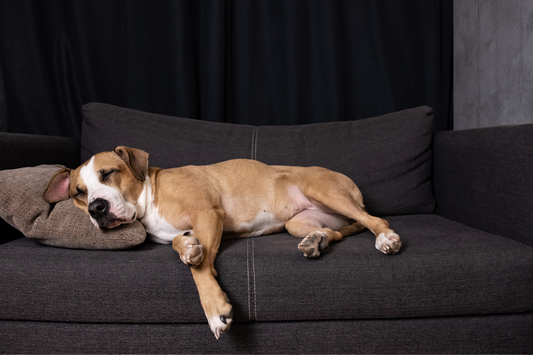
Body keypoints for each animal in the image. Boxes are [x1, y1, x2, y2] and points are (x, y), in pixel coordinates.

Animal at [43, 147, 402, 340]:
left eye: (108, 173)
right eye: (78, 192)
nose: (96, 208)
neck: (148, 196)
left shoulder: (207, 213)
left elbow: (200, 272)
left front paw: (216, 311)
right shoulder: (186, 229)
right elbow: (182, 245)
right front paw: (188, 249)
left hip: (323, 190)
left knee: (374, 220)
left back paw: (386, 238)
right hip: (300, 222)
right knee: (335, 232)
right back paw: (317, 240)